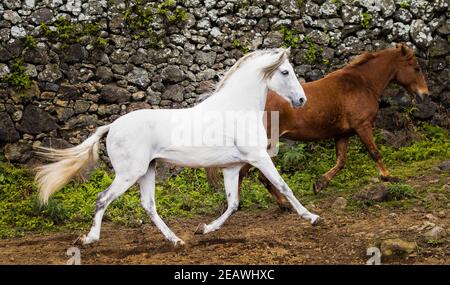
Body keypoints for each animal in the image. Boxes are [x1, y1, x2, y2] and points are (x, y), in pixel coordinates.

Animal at [36, 47, 320, 245]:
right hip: (130, 173)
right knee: (103, 198)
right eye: (285, 72)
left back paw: (175, 240)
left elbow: (233, 203)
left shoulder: (231, 166)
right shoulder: (258, 157)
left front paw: (204, 229)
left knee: (148, 205)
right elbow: (283, 186)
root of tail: (112, 126)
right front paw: (313, 217)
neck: (237, 108)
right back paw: (89, 239)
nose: (302, 100)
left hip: (147, 171)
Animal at [206, 43, 428, 209]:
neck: (361, 84)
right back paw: (280, 204)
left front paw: (320, 184)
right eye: (416, 68)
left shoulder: (342, 134)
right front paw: (387, 176)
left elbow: (341, 162)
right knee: (256, 175)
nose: (424, 95)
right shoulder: (362, 126)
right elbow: (375, 152)